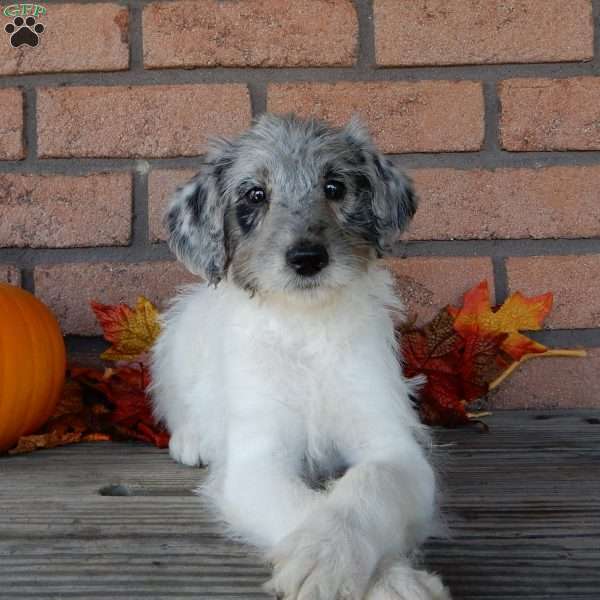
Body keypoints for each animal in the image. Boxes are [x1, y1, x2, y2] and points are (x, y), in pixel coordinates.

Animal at [150, 113, 450, 600]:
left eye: (334, 187)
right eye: (255, 195)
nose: (307, 258)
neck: (305, 325)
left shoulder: (392, 445)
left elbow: (365, 487)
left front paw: (346, 560)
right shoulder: (257, 459)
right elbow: (305, 506)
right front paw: (367, 572)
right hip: (174, 343)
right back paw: (192, 439)